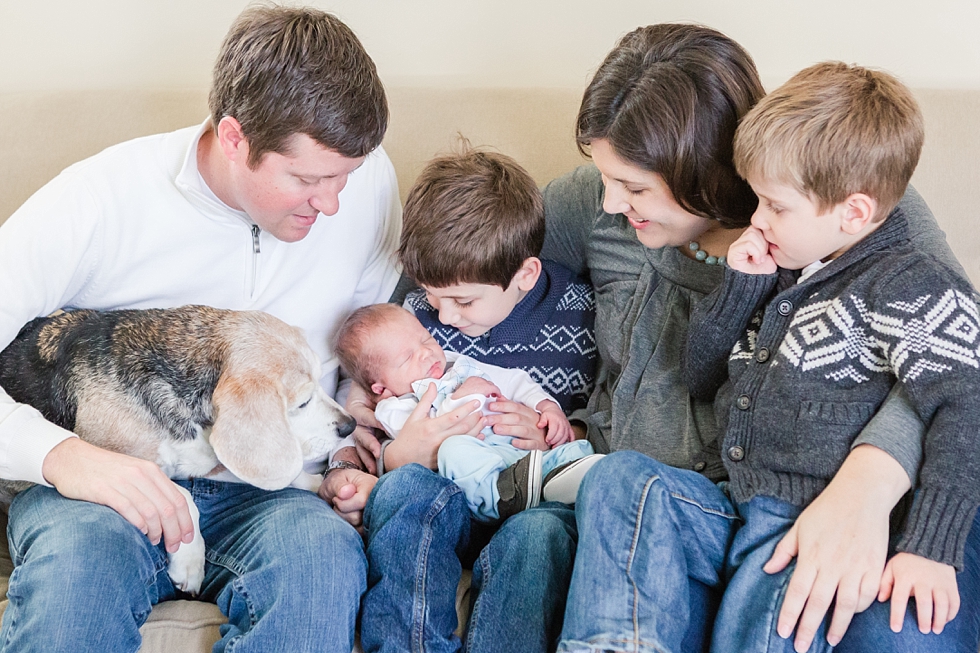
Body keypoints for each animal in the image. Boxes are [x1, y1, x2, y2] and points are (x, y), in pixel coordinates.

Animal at [0, 304, 358, 592]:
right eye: (302, 402)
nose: (349, 426)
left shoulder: (208, 456)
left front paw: (318, 482)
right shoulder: (114, 460)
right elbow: (182, 496)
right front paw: (190, 561)